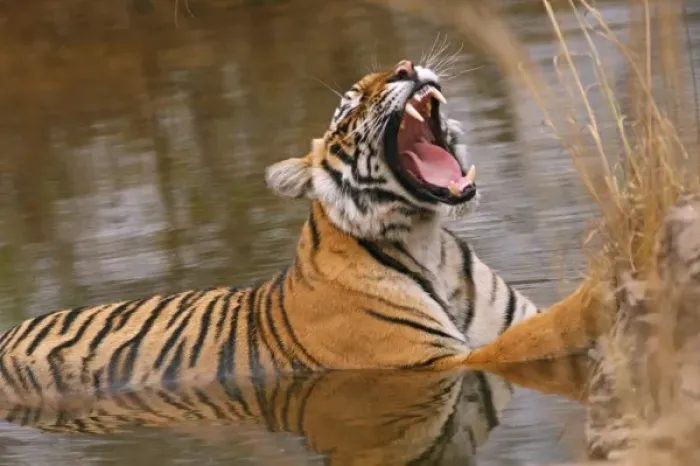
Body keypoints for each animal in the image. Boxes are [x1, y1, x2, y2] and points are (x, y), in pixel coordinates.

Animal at [0, 59, 597, 405]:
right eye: (350, 107)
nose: (405, 65)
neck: (428, 241)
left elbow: (533, 329)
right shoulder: (433, 363)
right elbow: (535, 337)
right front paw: (602, 283)